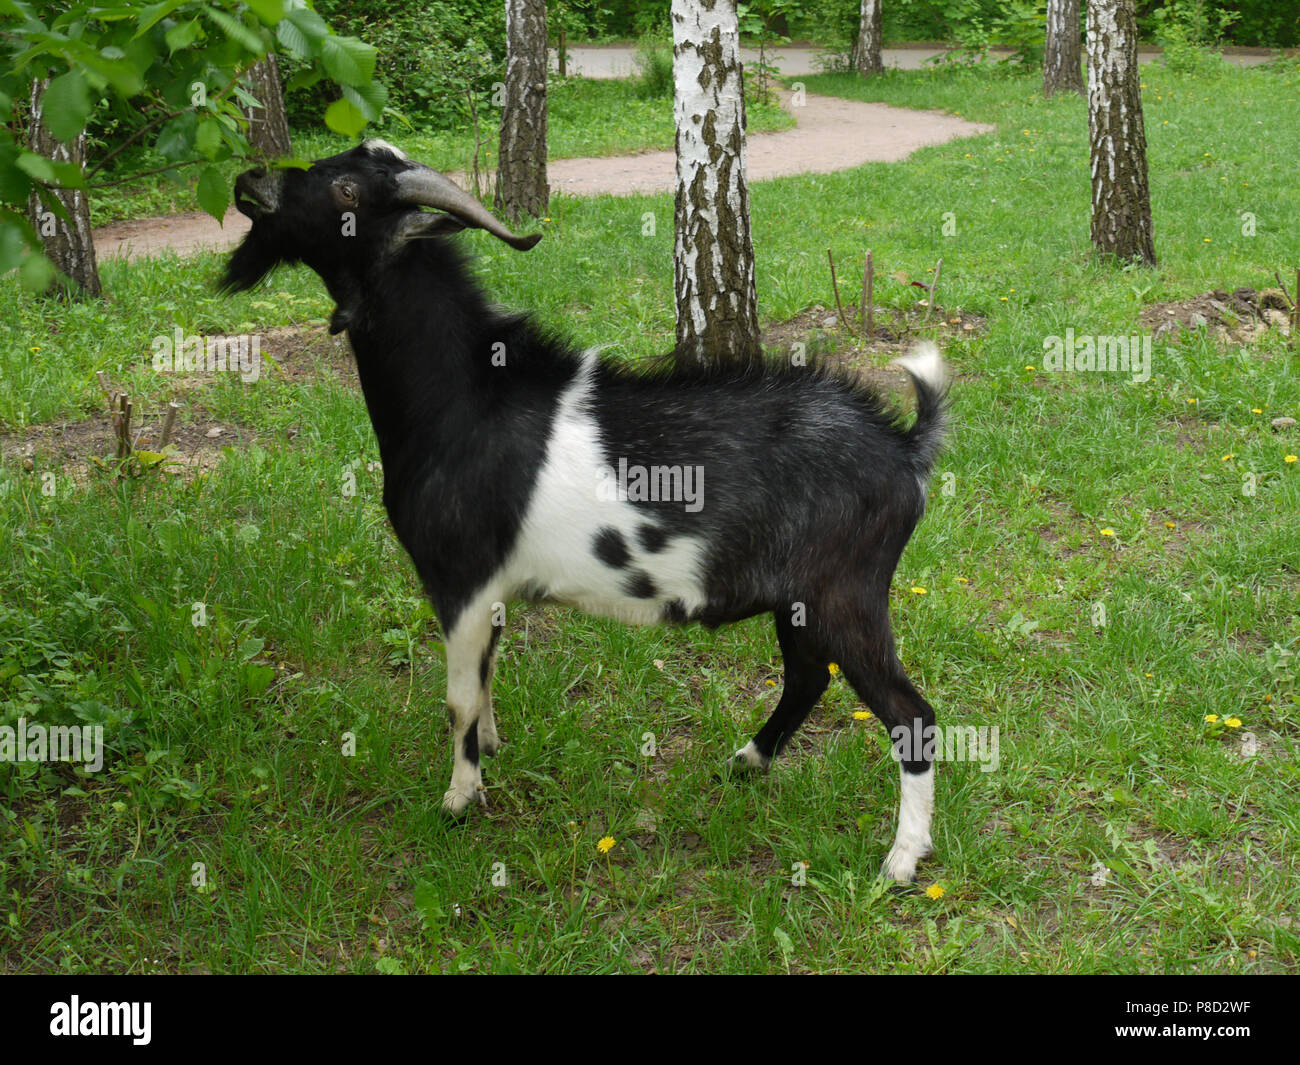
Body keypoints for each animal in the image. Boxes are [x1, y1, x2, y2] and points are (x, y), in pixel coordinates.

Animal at [222, 140, 949, 883]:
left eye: (345, 190)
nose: (251, 181)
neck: (465, 399)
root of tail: (904, 447)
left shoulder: (459, 579)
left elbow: (457, 697)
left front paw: (459, 799)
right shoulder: (492, 589)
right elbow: (485, 679)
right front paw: (493, 750)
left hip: (846, 592)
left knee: (910, 714)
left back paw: (900, 861)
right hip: (800, 598)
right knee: (807, 677)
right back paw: (746, 762)